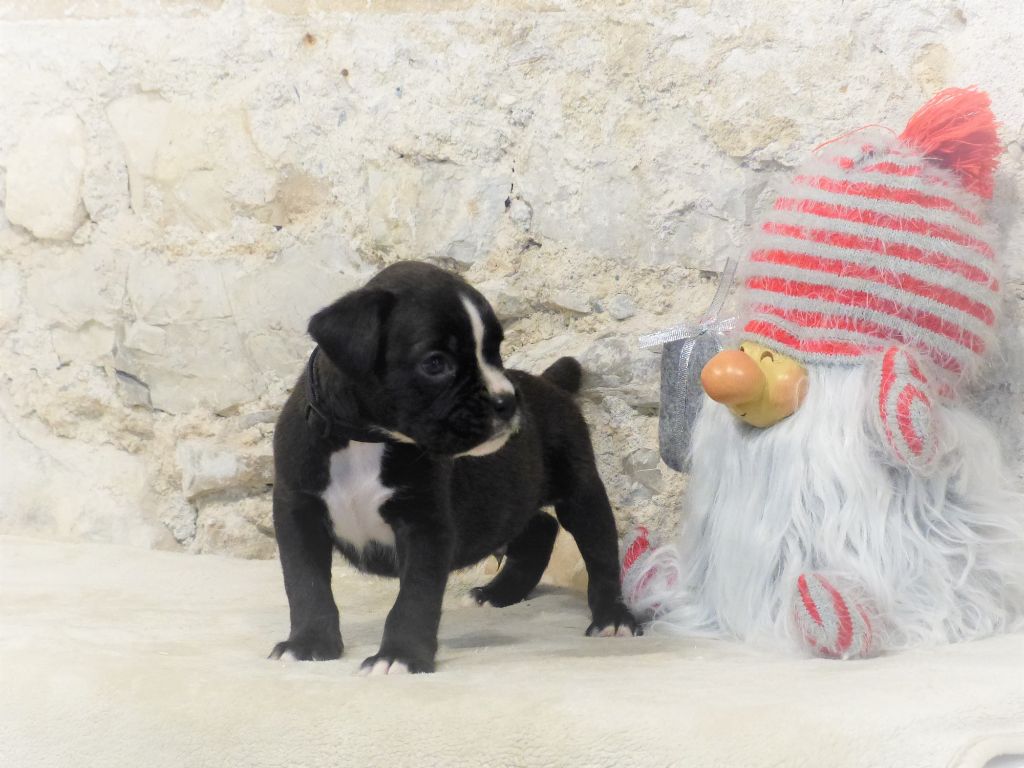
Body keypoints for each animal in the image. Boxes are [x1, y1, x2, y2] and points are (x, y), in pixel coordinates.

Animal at [269, 261, 637, 674]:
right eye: (435, 363)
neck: (365, 439)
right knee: (539, 527)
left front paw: (400, 656)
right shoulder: (298, 512)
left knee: (599, 553)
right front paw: (309, 643)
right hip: (505, 504)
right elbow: (306, 584)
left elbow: (415, 597)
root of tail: (548, 382)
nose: (507, 401)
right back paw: (499, 592)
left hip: (581, 493)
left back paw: (612, 618)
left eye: (495, 351)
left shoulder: (424, 525)